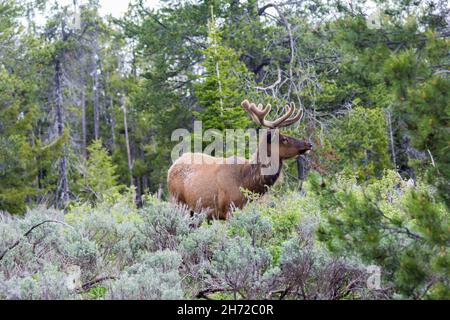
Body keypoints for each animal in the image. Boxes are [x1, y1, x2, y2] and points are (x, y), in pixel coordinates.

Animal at [167, 99, 312, 220]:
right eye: (284, 139)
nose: (308, 144)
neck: (248, 183)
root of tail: (170, 169)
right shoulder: (229, 209)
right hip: (179, 203)